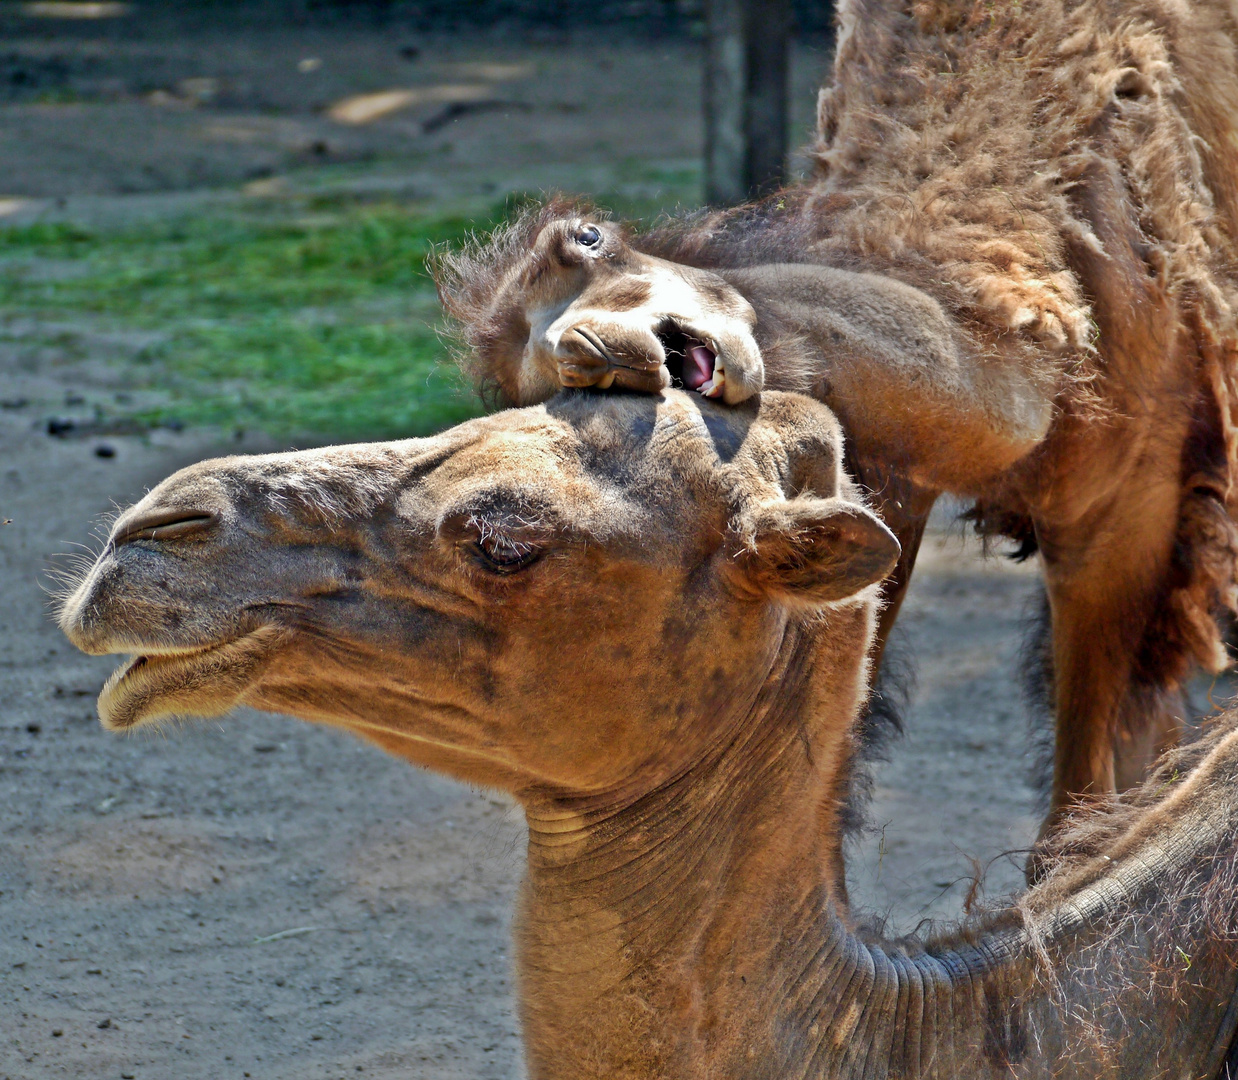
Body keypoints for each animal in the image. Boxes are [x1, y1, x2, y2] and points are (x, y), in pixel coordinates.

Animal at [433, 0, 1238, 842]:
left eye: (587, 241)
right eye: (543, 382)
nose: (582, 347)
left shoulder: (1129, 503)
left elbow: (1078, 797)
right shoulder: (891, 476)